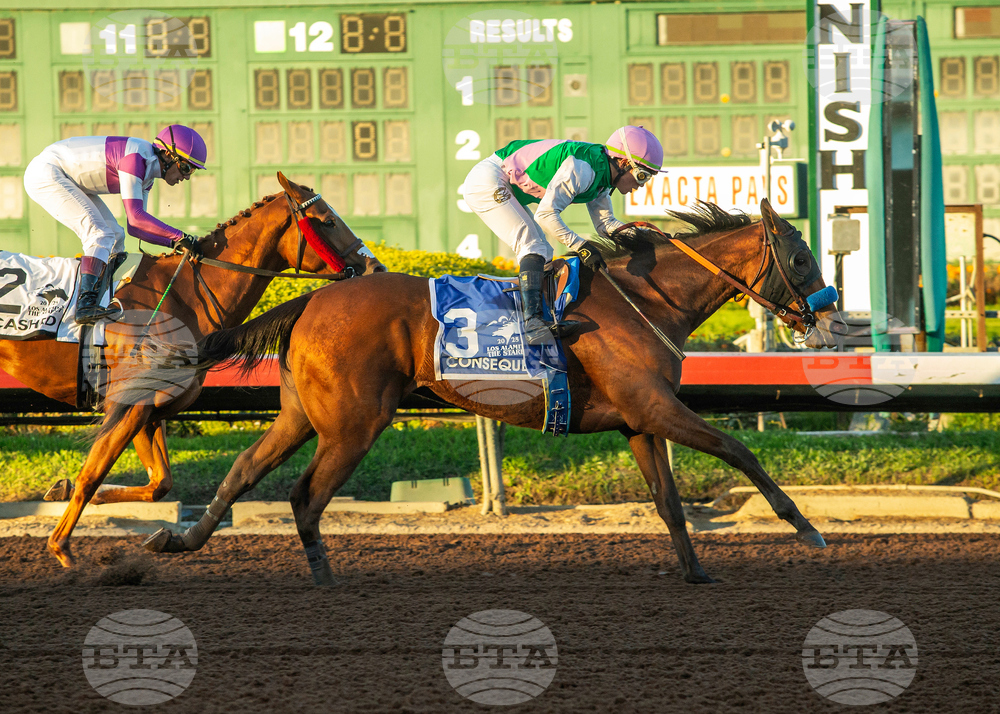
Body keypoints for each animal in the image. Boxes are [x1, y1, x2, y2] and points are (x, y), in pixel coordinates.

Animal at [2, 172, 384, 568]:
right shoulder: (131, 405)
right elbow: (93, 472)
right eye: (328, 220)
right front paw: (61, 547)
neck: (184, 296)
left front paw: (69, 490)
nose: (376, 269)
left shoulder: (151, 410)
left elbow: (159, 484)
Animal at [103, 199, 844, 584]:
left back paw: (177, 543)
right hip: (354, 422)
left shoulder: (638, 420)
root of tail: (315, 296)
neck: (646, 299)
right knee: (304, 495)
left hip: (303, 414)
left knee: (244, 469)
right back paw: (323, 578)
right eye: (801, 257)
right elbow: (738, 451)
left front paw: (696, 573)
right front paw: (808, 530)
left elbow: (667, 501)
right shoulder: (657, 406)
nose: (830, 314)